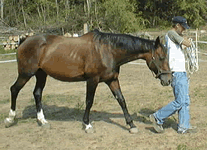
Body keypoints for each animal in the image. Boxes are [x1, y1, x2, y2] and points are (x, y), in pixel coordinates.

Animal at [4, 29, 171, 134]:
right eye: (161, 57)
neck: (108, 51)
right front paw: (87, 125)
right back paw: (10, 119)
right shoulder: (92, 80)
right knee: (14, 89)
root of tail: (25, 40)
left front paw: (131, 125)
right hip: (26, 74)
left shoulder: (112, 80)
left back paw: (43, 121)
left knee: (37, 93)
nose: (168, 80)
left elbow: (121, 100)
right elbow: (89, 101)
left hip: (41, 74)